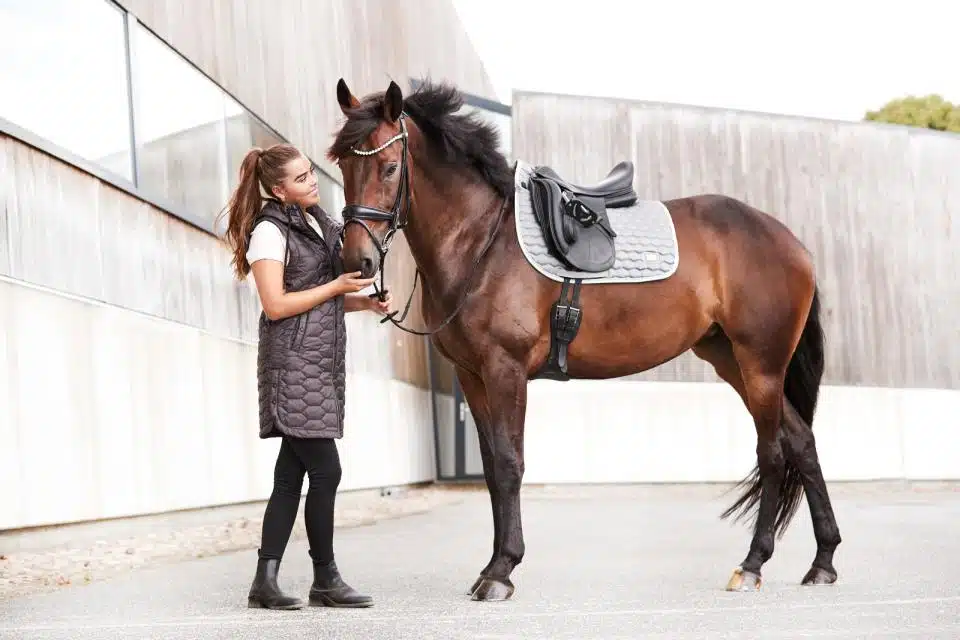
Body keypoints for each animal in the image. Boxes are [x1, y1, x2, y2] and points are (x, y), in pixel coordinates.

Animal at [327, 78, 841, 601]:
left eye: (390, 167)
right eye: (343, 164)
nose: (357, 262)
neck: (481, 242)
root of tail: (794, 245)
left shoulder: (506, 369)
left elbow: (510, 463)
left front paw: (501, 570)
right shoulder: (472, 375)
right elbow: (491, 468)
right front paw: (491, 564)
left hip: (761, 364)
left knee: (773, 451)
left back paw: (753, 564)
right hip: (732, 360)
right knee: (802, 441)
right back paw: (822, 561)